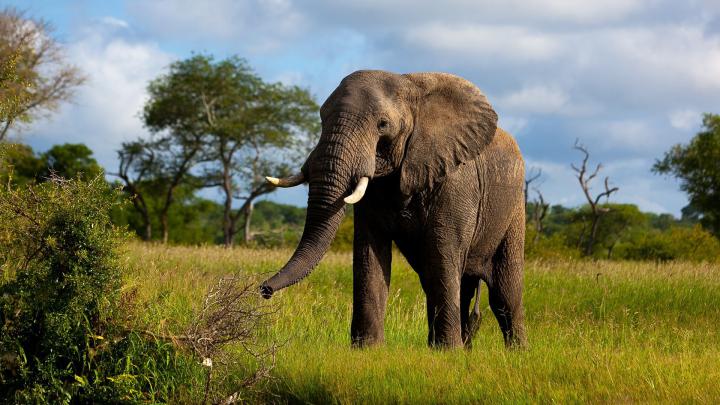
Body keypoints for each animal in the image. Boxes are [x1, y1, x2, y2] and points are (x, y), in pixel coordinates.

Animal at [261, 70, 527, 349]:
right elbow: (369, 252)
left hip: (514, 209)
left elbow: (442, 252)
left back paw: (515, 352)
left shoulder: (455, 181)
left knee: (504, 292)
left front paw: (448, 352)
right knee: (449, 283)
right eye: (322, 118)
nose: (264, 290)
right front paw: (368, 349)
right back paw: (455, 348)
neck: (409, 85)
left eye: (383, 125)